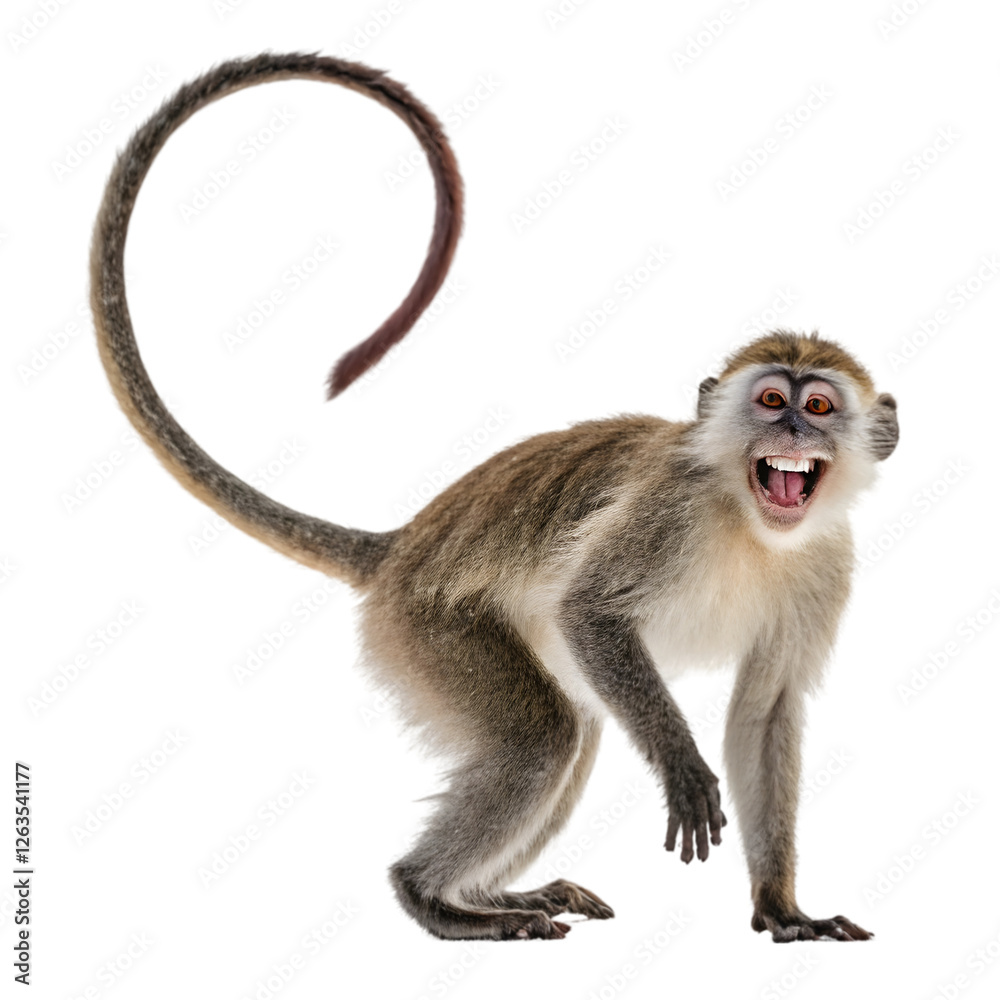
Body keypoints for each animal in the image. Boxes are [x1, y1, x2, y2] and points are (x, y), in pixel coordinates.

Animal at [90, 52, 898, 943]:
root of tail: (405, 544)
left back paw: (488, 894)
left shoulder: (827, 561)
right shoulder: (672, 509)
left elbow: (764, 714)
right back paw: (432, 897)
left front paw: (780, 906)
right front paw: (681, 763)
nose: (790, 427)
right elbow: (592, 613)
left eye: (818, 406)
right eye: (771, 400)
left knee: (574, 727)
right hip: (425, 626)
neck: (756, 526)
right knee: (545, 735)